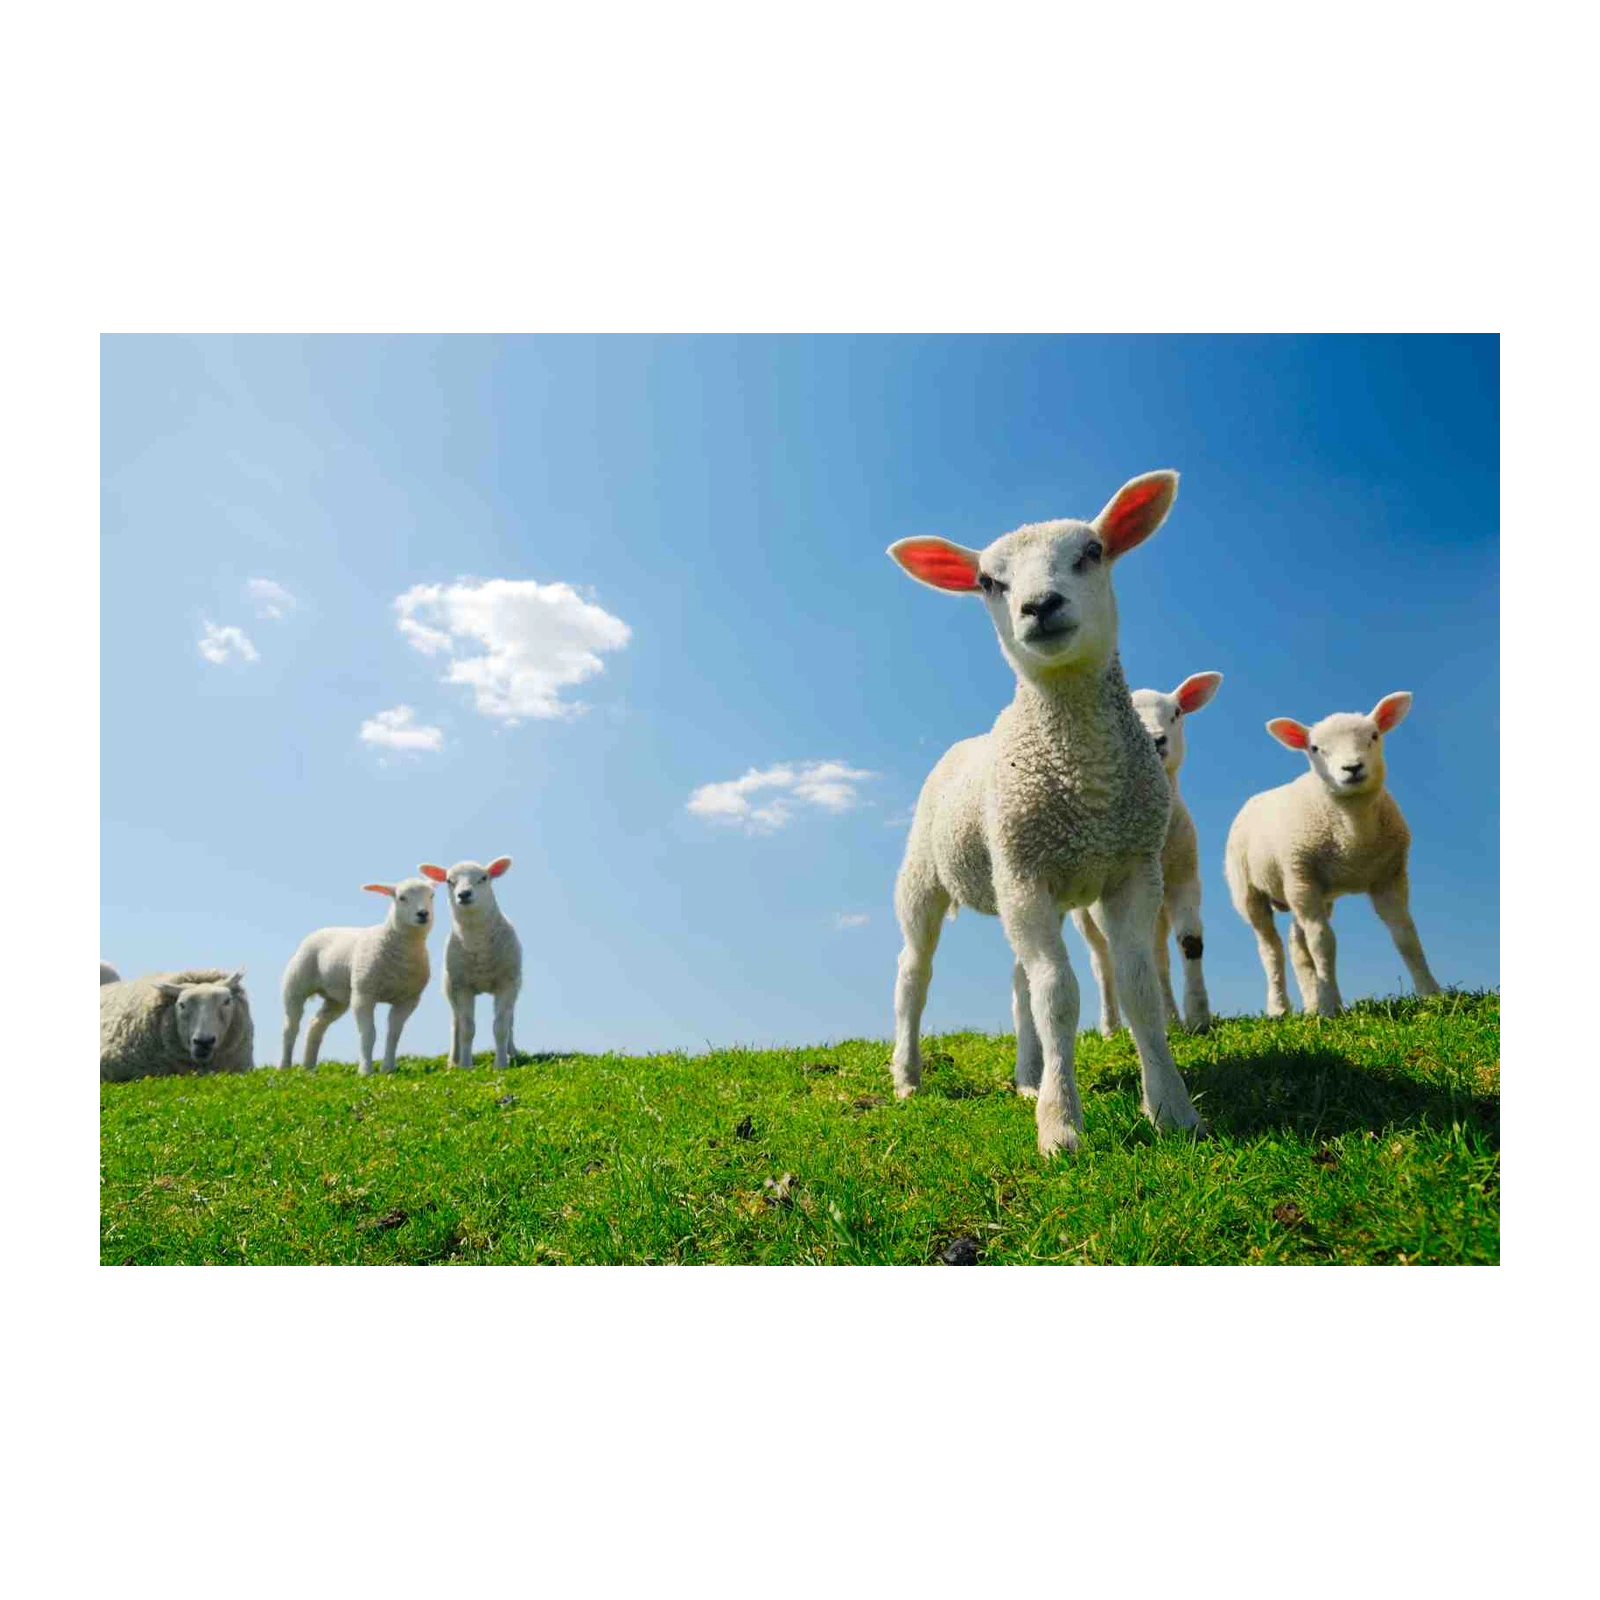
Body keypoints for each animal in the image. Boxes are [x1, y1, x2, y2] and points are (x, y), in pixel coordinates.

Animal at [279, 877, 437, 1076]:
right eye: (401, 897)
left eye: (432, 895)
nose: (423, 914)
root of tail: (322, 930)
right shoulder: (364, 995)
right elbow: (368, 1033)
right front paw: (365, 1071)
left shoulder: (408, 1000)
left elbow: (393, 1034)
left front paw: (388, 1069)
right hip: (296, 985)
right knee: (290, 1027)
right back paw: (284, 1066)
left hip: (336, 999)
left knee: (316, 1024)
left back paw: (309, 1067)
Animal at [418, 857, 522, 1071]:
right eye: (449, 881)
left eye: (484, 878)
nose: (464, 894)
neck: (478, 944)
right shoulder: (462, 987)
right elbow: (467, 1028)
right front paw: (466, 1066)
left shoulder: (506, 983)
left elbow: (501, 1026)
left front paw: (501, 1064)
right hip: (450, 988)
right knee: (456, 1023)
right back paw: (453, 1061)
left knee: (510, 1020)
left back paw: (512, 1053)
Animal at [887, 469, 1206, 1157]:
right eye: (988, 581)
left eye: (1092, 552)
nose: (1039, 605)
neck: (1087, 782)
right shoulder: (1027, 874)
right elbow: (1059, 995)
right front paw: (1061, 1127)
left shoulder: (1131, 868)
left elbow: (1137, 987)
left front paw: (1172, 1109)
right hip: (933, 877)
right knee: (914, 975)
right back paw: (907, 1077)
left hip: (1026, 883)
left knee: (1019, 984)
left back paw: (1028, 1076)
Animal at [1072, 671, 1224, 1037]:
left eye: (1177, 713)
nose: (1156, 741)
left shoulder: (1185, 877)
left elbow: (1190, 943)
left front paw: (1198, 1017)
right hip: (1084, 915)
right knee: (1103, 962)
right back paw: (1112, 1027)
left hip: (1157, 908)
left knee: (1157, 956)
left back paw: (1169, 1017)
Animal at [1224, 691, 1441, 1017]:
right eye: (1315, 748)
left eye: (1374, 736)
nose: (1352, 768)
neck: (1353, 836)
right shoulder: (1302, 878)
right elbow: (1323, 943)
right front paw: (1330, 1007)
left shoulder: (1389, 877)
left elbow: (1405, 935)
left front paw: (1432, 993)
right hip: (1252, 889)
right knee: (1271, 948)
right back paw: (1280, 1007)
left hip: (1309, 891)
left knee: (1297, 944)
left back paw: (1311, 1002)